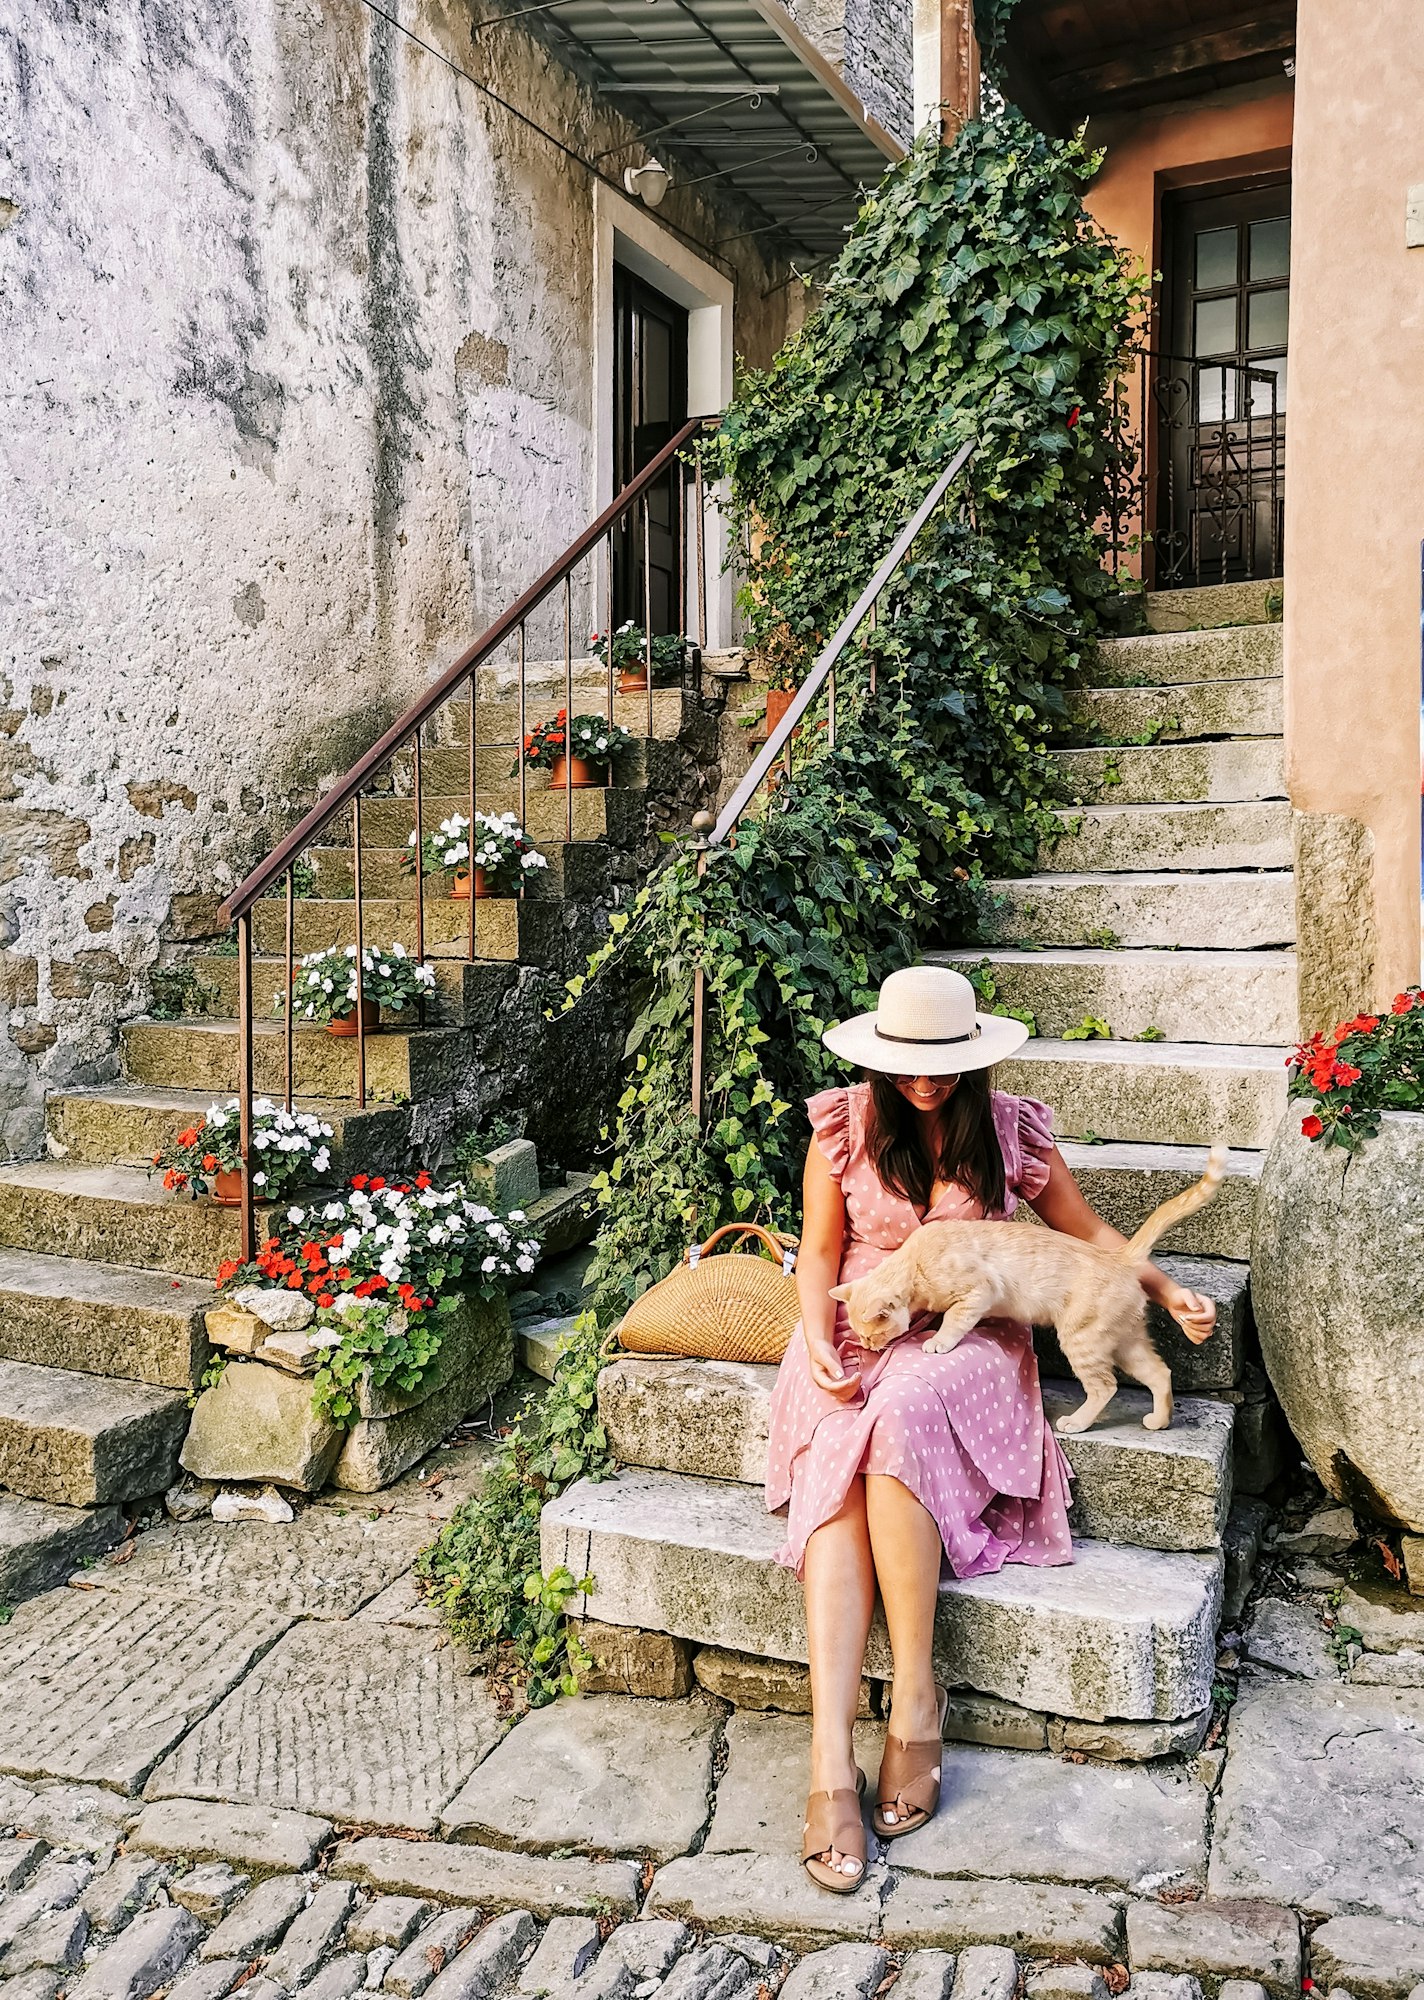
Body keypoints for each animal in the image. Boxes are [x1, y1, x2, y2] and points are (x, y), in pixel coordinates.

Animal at [828, 1152, 1232, 1432]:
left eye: (870, 1335)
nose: (866, 1347)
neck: (915, 1263)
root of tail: (1118, 1256)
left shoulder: (979, 1290)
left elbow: (953, 1321)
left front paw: (938, 1340)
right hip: (1126, 1342)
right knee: (1160, 1373)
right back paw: (1158, 1421)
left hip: (1082, 1340)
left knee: (1105, 1385)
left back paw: (1077, 1422)